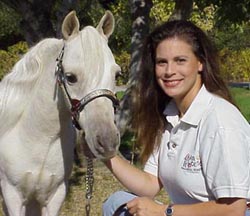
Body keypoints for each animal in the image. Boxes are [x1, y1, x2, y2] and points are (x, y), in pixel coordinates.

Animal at [0, 10, 120, 216]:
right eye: (70, 77)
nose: (107, 142)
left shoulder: (55, 196)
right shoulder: (13, 196)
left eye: (116, 75)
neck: (38, 139)